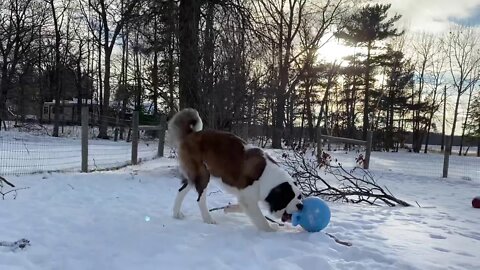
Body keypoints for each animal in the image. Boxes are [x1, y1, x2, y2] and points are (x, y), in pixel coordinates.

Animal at [169, 108, 304, 231]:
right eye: (291, 198)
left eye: (300, 197)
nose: (301, 206)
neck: (266, 177)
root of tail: (191, 134)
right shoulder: (249, 198)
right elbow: (260, 219)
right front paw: (271, 229)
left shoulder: (245, 197)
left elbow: (242, 206)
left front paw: (229, 208)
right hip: (203, 175)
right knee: (200, 199)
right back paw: (208, 219)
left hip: (194, 176)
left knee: (181, 190)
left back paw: (176, 214)